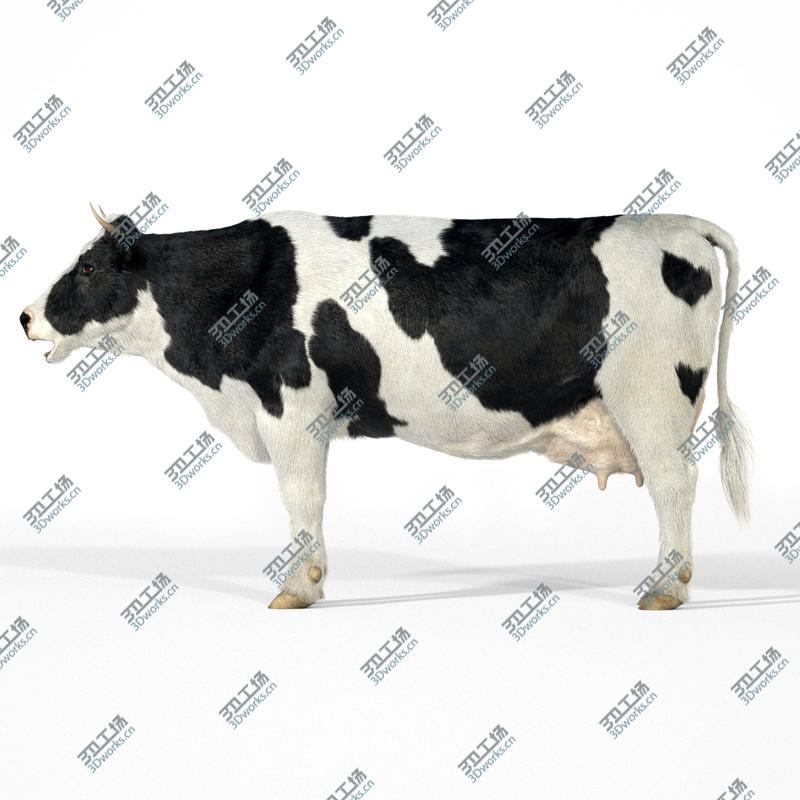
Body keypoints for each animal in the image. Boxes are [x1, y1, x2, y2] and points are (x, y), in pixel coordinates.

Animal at [20, 205, 751, 611]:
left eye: (87, 268)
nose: (25, 315)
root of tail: (672, 223)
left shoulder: (291, 409)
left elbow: (302, 499)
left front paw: (299, 587)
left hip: (648, 396)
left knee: (674, 483)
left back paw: (665, 588)